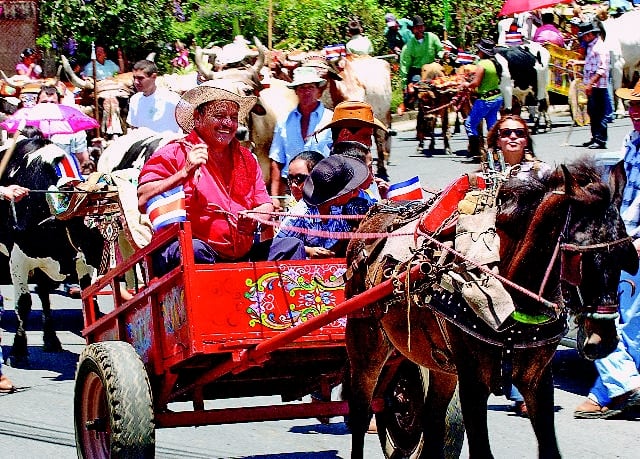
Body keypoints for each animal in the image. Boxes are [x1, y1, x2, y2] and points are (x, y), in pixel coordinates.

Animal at [0, 136, 105, 366]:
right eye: (85, 225)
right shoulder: (18, 259)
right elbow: (23, 304)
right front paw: (18, 351)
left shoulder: (82, 263)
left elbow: (88, 300)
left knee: (44, 293)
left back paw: (51, 339)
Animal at [345, 158, 638, 458]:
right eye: (577, 257)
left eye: (625, 254)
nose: (602, 341)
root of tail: (370, 217)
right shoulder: (473, 382)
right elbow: (482, 451)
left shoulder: (538, 380)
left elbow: (549, 449)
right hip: (366, 345)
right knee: (360, 413)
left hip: (441, 367)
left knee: (432, 420)